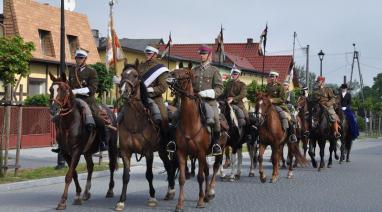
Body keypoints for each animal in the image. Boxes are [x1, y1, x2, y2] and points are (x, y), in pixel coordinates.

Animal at [48, 73, 118, 210]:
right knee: (90, 167)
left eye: (63, 90)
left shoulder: (76, 151)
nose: (53, 110)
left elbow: (69, 175)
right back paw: (86, 192)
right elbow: (73, 173)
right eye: (51, 90)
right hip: (88, 151)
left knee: (112, 166)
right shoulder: (65, 152)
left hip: (111, 147)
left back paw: (110, 190)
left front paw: (63, 201)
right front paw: (78, 195)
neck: (69, 123)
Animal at [115, 65, 178, 211]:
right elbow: (125, 176)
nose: (123, 91)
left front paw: (152, 198)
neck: (135, 122)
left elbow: (149, 174)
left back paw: (171, 190)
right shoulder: (125, 152)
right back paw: (170, 191)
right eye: (122, 74)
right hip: (162, 151)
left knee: (170, 166)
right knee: (168, 166)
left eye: (136, 75)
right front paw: (121, 200)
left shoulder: (149, 153)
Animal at [168, 67, 227, 211]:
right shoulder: (181, 153)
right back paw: (206, 195)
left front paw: (200, 201)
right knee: (207, 171)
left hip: (220, 150)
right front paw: (180, 204)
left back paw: (209, 193)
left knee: (215, 168)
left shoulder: (200, 153)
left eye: (185, 73)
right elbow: (182, 178)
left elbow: (200, 177)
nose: (170, 75)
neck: (190, 122)